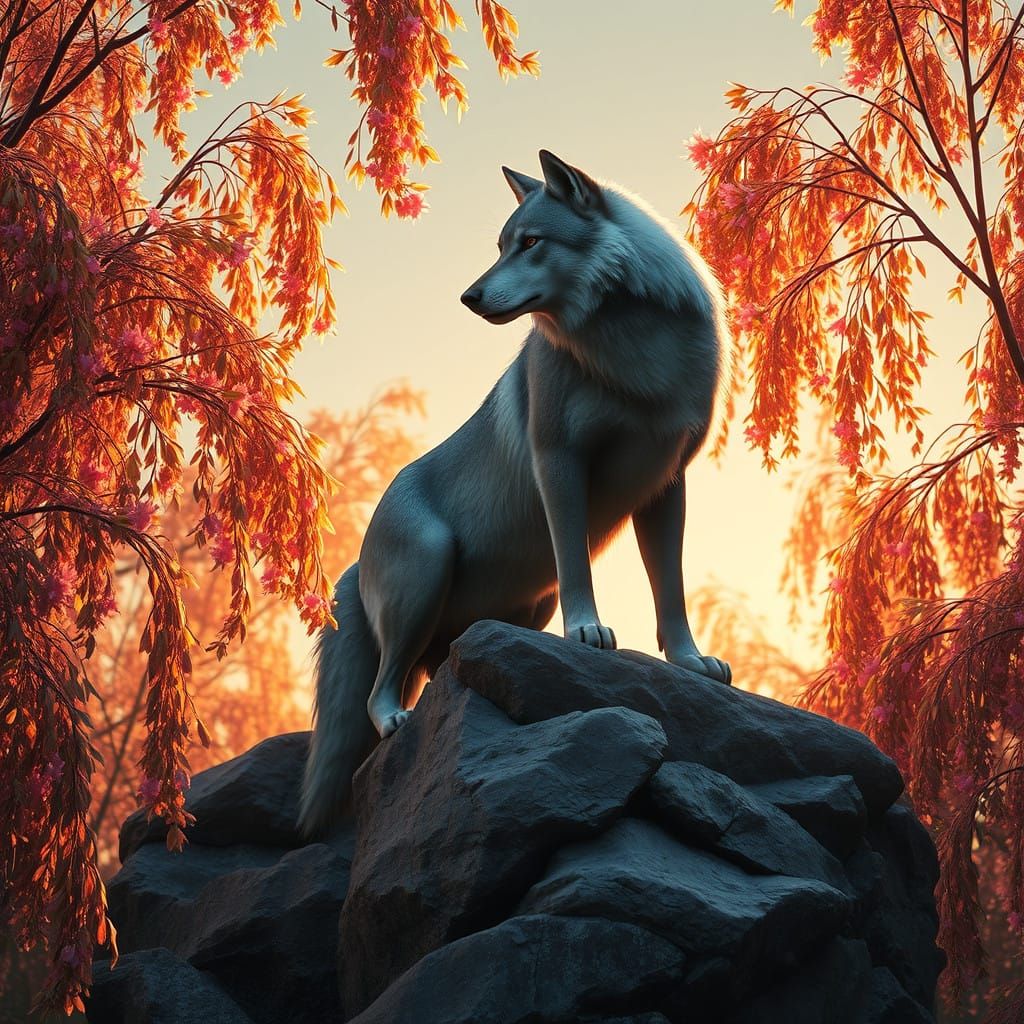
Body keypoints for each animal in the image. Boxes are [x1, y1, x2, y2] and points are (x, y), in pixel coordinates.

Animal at [298, 150, 732, 835]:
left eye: (531, 243)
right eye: (501, 246)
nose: (469, 297)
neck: (634, 355)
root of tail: (353, 562)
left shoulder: (668, 484)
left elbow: (672, 589)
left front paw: (691, 663)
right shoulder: (559, 463)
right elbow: (577, 561)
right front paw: (588, 632)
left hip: (523, 606)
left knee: (437, 671)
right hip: (428, 571)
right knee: (379, 691)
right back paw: (395, 720)